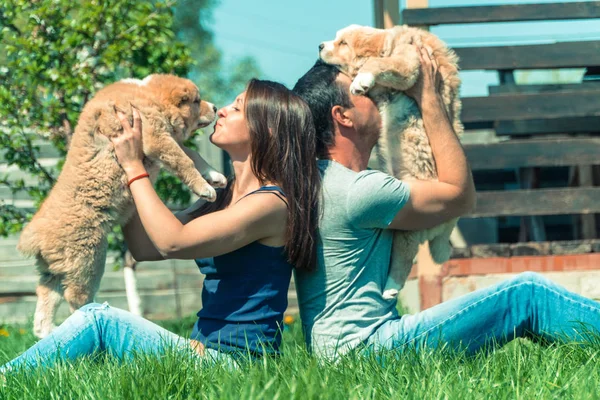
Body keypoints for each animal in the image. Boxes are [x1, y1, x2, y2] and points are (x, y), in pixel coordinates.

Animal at [18, 73, 227, 336]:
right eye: (197, 101)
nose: (216, 108)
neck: (149, 96)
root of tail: (33, 236)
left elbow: (192, 154)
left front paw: (214, 176)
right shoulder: (156, 137)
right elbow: (183, 160)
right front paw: (204, 187)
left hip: (54, 270)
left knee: (44, 306)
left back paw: (50, 331)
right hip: (88, 259)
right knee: (76, 297)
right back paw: (95, 311)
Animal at [318, 25, 464, 298]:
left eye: (343, 43)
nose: (320, 46)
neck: (389, 41)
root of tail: (447, 227)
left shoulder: (409, 63)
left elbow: (377, 63)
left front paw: (361, 79)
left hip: (411, 222)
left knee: (404, 258)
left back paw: (390, 289)